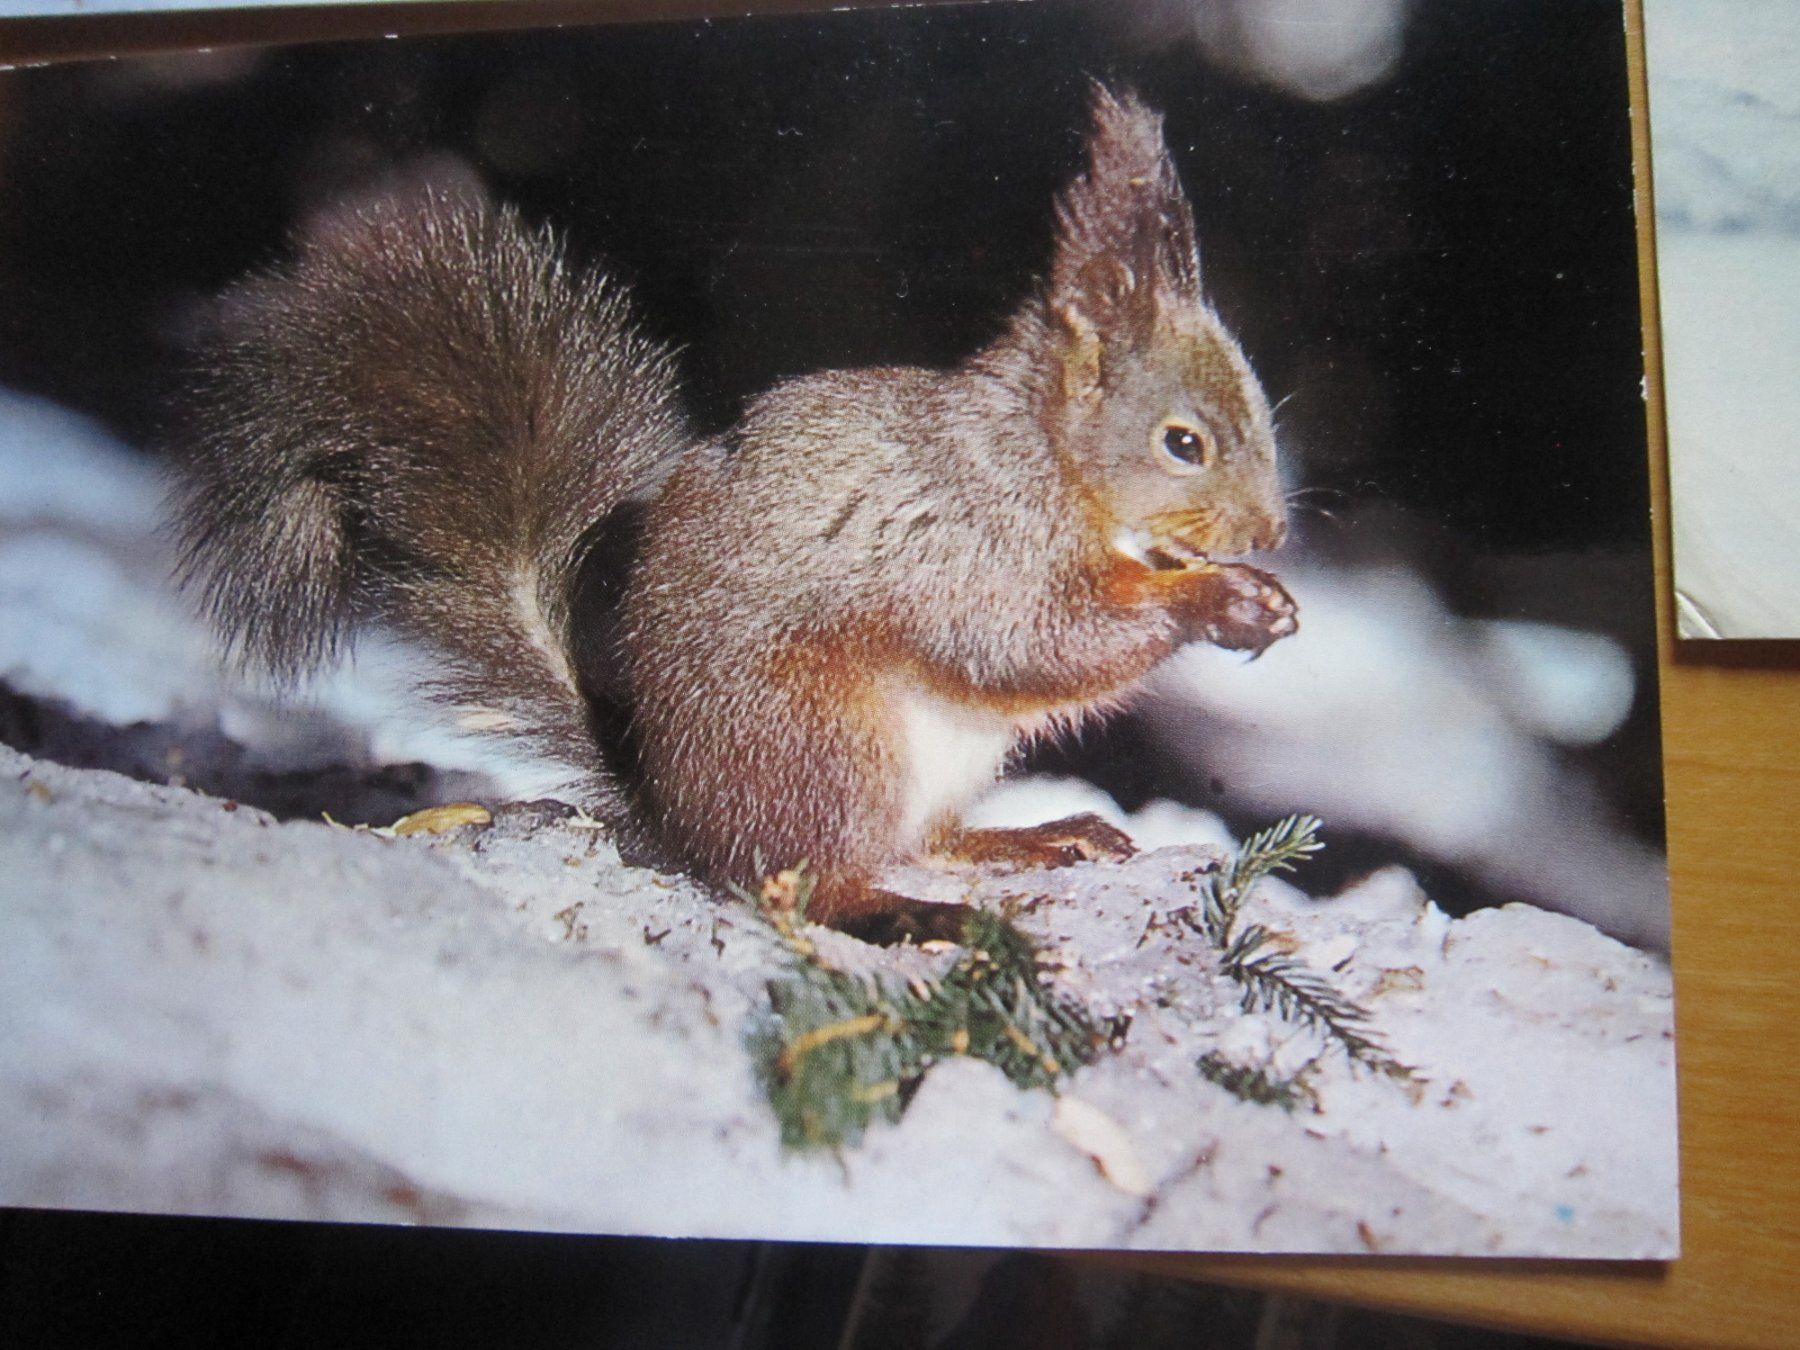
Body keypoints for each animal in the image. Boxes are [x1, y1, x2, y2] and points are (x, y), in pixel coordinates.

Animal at [169, 85, 1297, 942]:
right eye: (1184, 443)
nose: (1270, 535)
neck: (1050, 459)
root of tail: (678, 814)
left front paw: (1261, 599)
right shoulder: (972, 542)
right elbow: (1035, 641)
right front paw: (1219, 603)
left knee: (922, 842)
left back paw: (1030, 836)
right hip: (824, 740)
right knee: (802, 879)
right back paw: (906, 913)